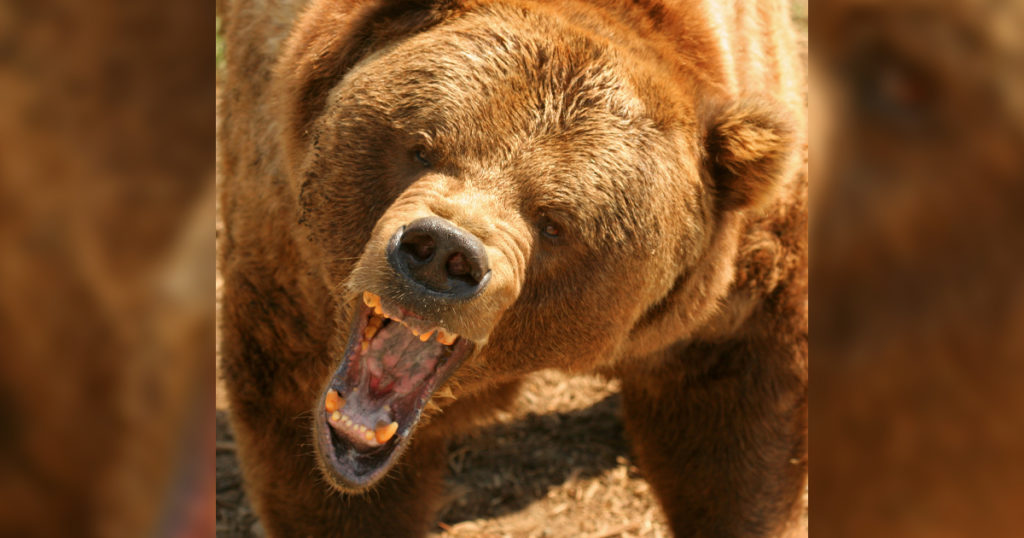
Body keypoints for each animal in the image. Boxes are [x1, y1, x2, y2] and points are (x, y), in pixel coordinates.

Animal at [217, 0, 807, 536]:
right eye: (422, 148)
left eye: (554, 222)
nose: (441, 253)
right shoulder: (288, 259)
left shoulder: (735, 283)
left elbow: (731, 428)